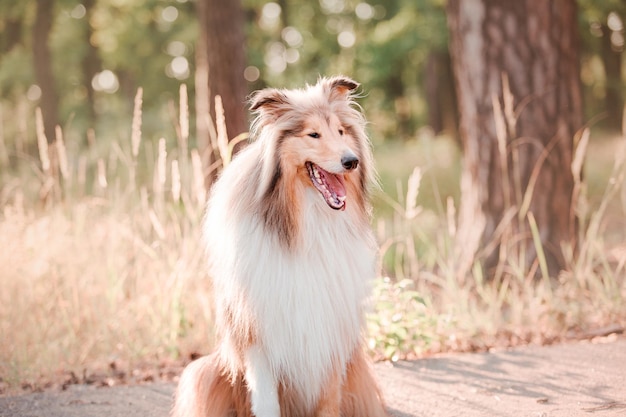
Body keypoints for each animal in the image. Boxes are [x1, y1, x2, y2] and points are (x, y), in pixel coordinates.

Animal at [171, 76, 386, 414]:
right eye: (313, 134)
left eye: (341, 131)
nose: (351, 161)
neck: (308, 220)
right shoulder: (258, 329)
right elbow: (266, 398)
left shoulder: (330, 330)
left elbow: (328, 399)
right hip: (205, 371)